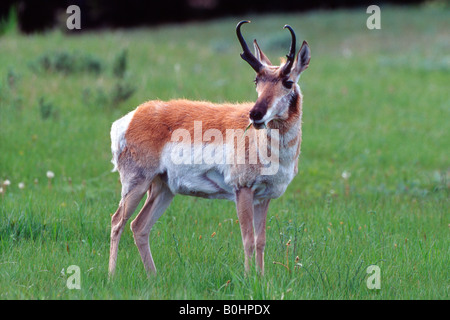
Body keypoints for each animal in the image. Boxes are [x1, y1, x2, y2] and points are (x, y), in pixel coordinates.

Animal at [109, 20, 310, 276]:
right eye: (257, 81)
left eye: (288, 82)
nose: (255, 114)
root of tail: (132, 117)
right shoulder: (242, 190)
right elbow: (248, 240)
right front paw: (249, 278)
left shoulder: (264, 197)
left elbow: (261, 241)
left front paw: (262, 278)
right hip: (137, 183)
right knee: (117, 221)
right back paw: (112, 276)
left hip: (163, 188)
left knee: (139, 226)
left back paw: (153, 277)